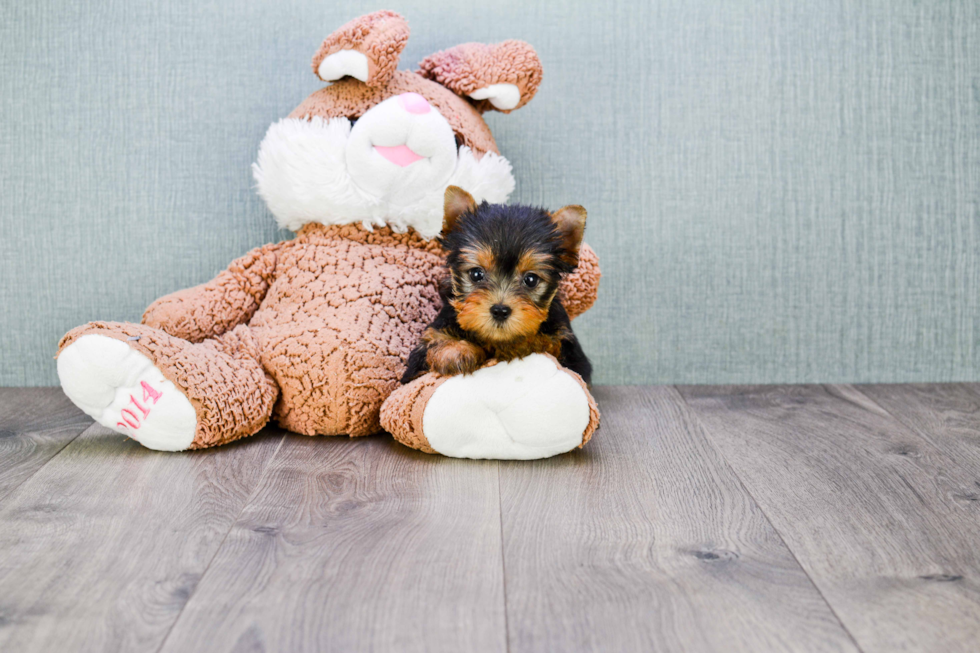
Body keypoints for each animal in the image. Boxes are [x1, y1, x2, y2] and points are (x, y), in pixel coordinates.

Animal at [398, 183, 588, 384]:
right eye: (476, 274)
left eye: (531, 280)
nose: (500, 310)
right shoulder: (428, 344)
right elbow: (434, 345)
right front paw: (456, 351)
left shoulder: (570, 350)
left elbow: (548, 344)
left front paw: (521, 345)